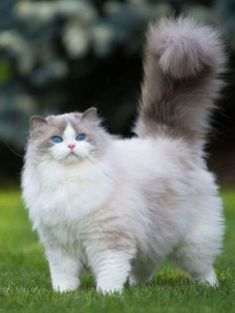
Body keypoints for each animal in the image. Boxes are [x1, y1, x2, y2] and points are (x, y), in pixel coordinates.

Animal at [21, 17, 226, 292]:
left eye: (81, 137)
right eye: (56, 139)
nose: (71, 147)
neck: (69, 181)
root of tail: (169, 139)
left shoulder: (108, 240)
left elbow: (110, 270)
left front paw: (107, 294)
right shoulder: (59, 245)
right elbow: (63, 275)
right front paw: (65, 294)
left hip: (192, 242)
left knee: (203, 268)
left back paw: (209, 287)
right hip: (153, 238)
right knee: (146, 266)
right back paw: (137, 287)